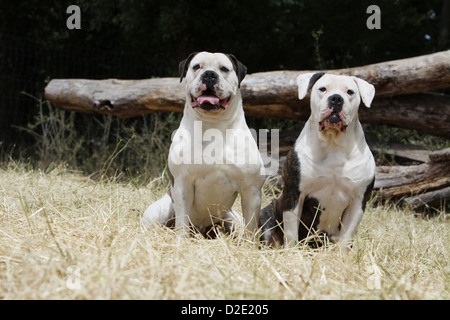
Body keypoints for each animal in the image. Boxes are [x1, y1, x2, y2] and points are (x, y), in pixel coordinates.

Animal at [142, 52, 266, 238]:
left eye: (224, 69)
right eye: (196, 66)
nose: (209, 74)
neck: (213, 126)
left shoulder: (251, 190)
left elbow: (251, 227)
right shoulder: (182, 184)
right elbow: (182, 221)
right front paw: (181, 240)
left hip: (231, 217)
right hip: (159, 211)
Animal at [260, 72, 376, 250]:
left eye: (350, 92)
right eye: (323, 89)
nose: (336, 98)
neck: (332, 143)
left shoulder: (358, 201)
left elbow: (346, 237)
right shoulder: (295, 193)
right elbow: (291, 232)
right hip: (267, 214)